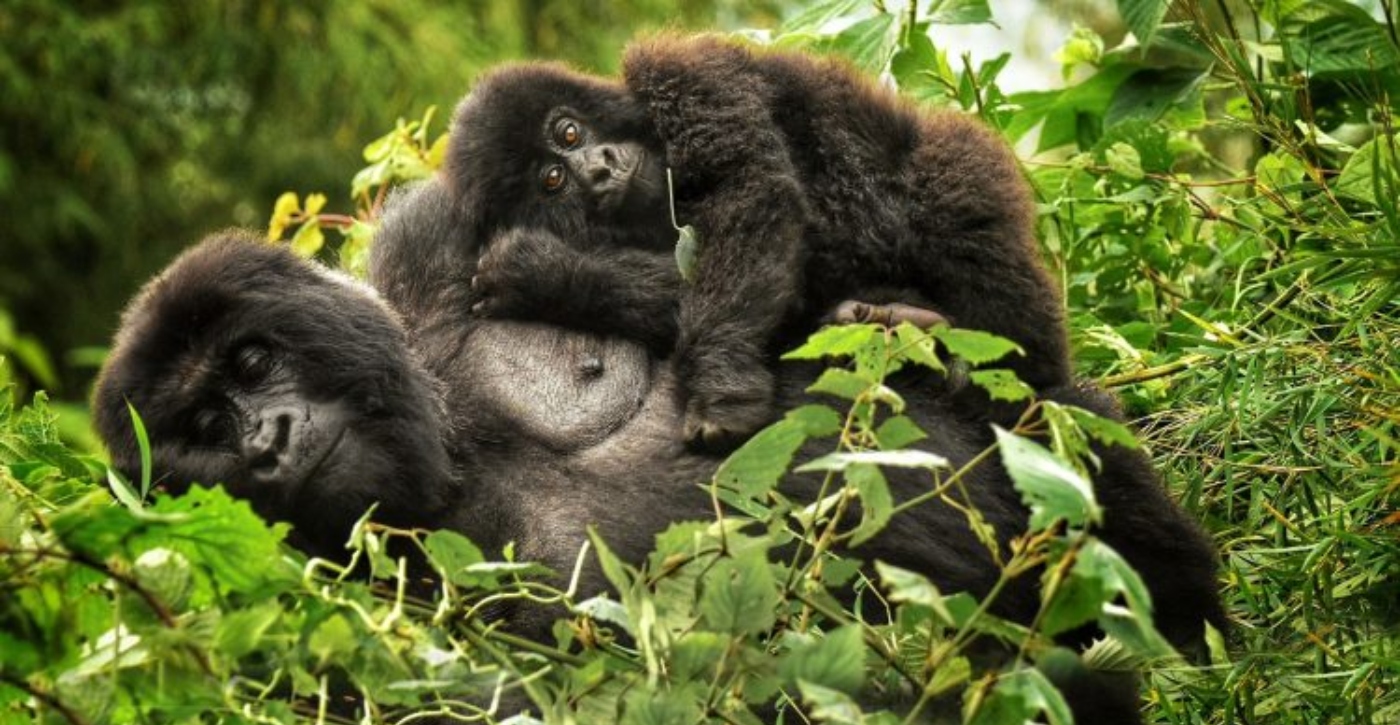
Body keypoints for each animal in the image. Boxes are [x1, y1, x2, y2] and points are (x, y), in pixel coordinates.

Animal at [446, 34, 1071, 449]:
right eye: (553, 180)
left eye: (569, 131)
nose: (598, 170)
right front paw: (550, 277)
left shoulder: (682, 75)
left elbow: (752, 188)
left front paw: (721, 391)